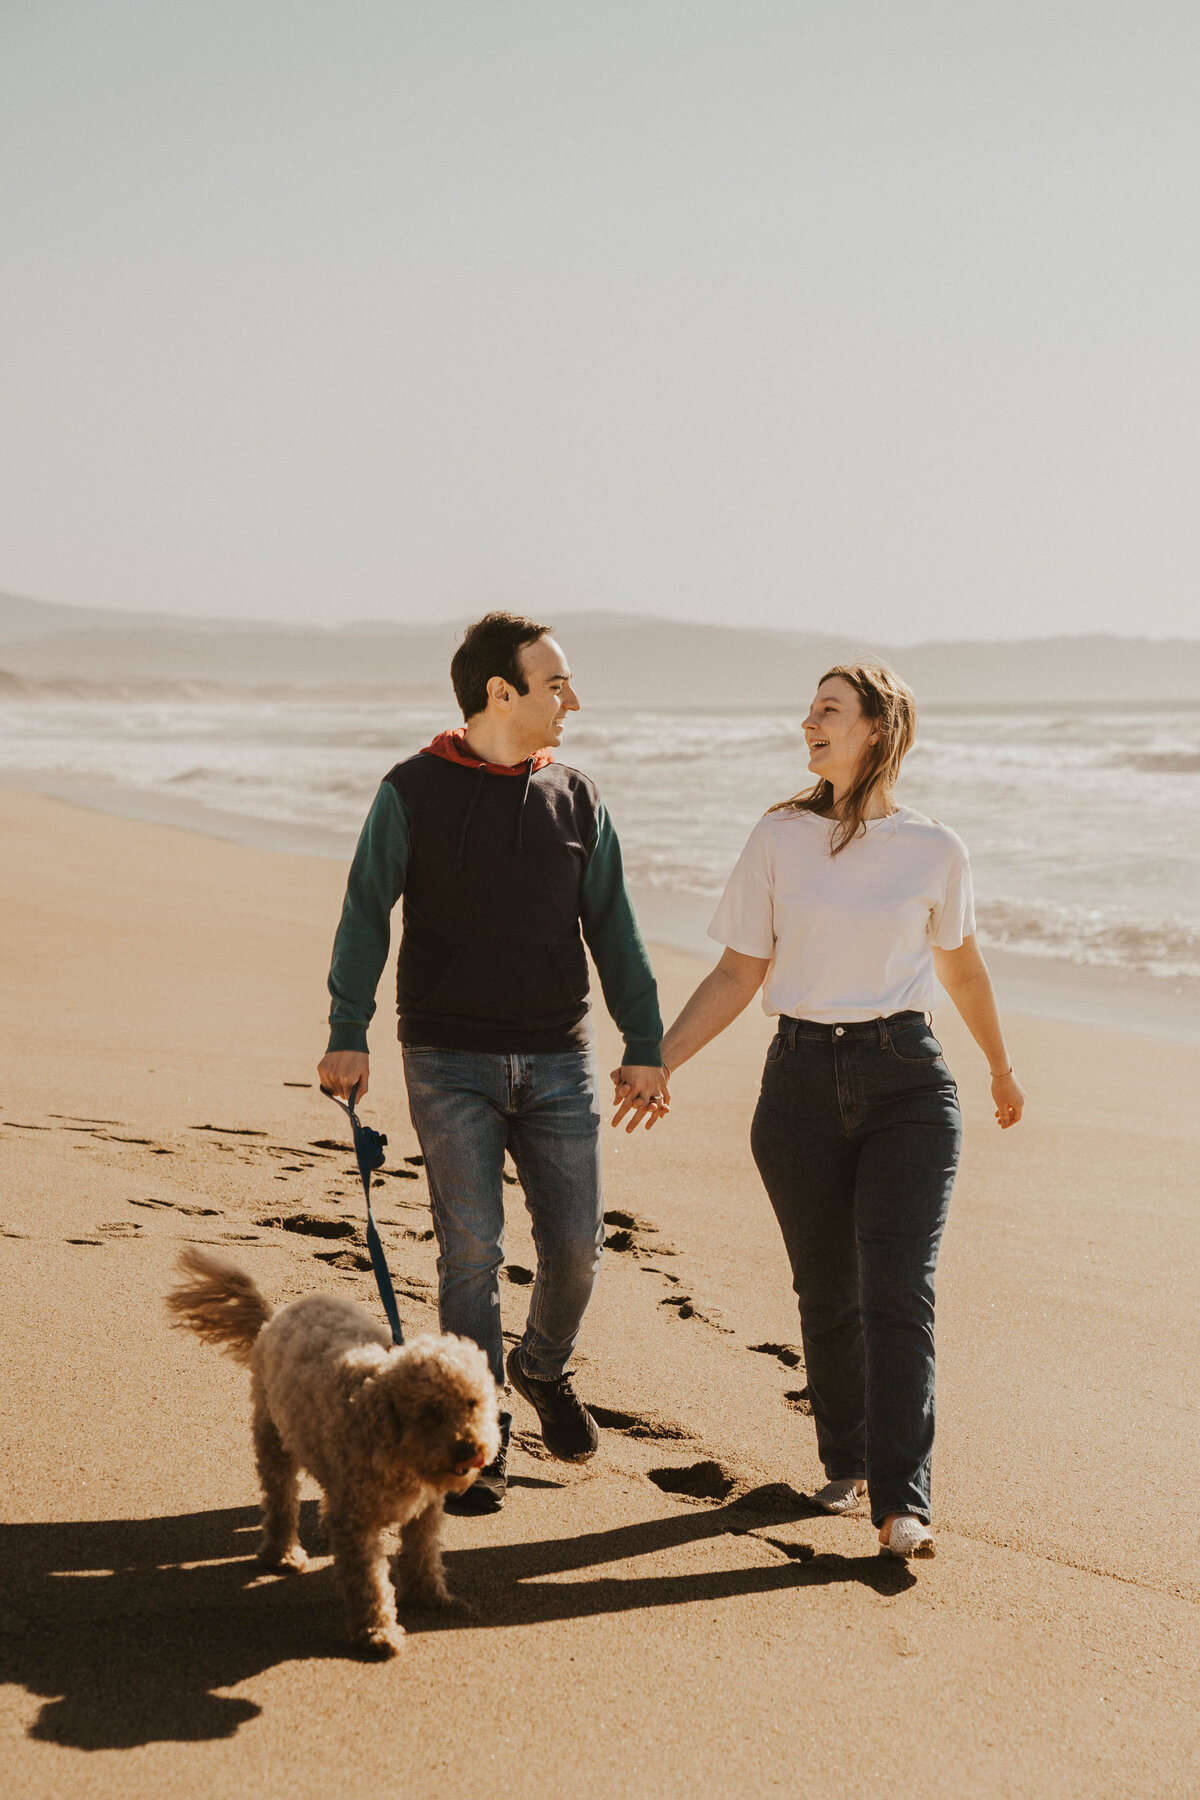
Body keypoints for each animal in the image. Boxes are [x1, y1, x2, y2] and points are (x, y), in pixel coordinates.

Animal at [166, 1252, 500, 1656]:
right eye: (430, 1411)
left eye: (473, 1403)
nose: (471, 1450)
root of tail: (276, 1315)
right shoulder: (355, 1522)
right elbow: (369, 1581)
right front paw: (377, 1632)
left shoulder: (424, 1512)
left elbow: (423, 1553)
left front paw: (429, 1597)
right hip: (273, 1436)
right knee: (280, 1500)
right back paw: (282, 1554)